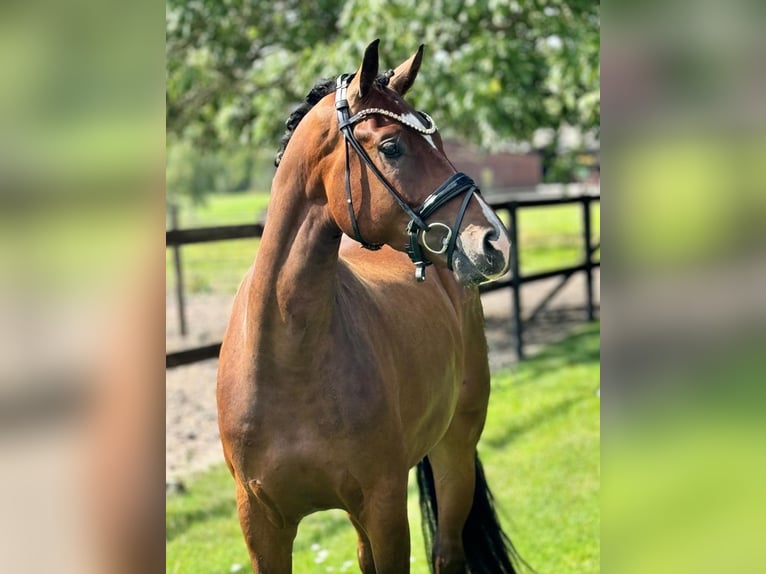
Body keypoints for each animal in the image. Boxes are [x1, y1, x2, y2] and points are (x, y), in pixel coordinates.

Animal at [219, 41, 524, 574]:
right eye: (392, 147)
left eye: (438, 139)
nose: (493, 242)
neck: (287, 359)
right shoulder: (261, 524)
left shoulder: (384, 505)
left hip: (455, 451)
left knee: (448, 554)